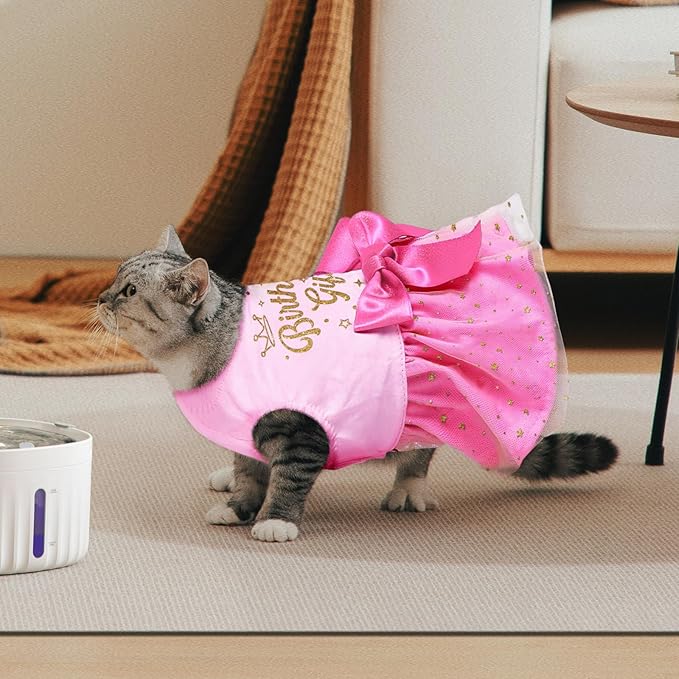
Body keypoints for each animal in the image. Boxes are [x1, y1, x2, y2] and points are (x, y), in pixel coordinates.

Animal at [96, 225, 618, 542]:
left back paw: (409, 487)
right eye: (115, 278)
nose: (99, 297)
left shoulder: (300, 428)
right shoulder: (242, 424)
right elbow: (248, 471)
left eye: (129, 292)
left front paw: (274, 520)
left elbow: (288, 476)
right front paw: (240, 504)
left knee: (418, 452)